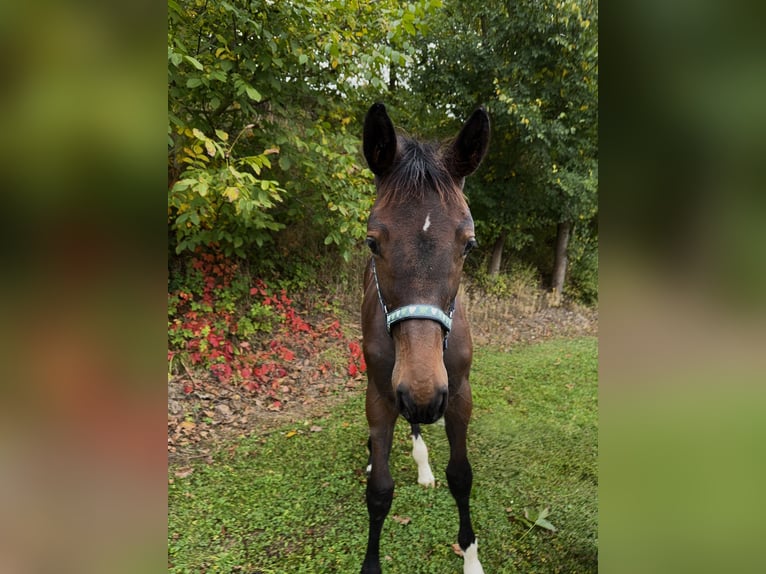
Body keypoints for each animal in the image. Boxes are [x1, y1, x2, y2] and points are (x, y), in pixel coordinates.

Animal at [360, 103, 490, 574]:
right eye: (372, 242)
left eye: (469, 244)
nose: (421, 392)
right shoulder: (382, 394)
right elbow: (380, 492)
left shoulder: (458, 393)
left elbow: (462, 476)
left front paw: (470, 558)